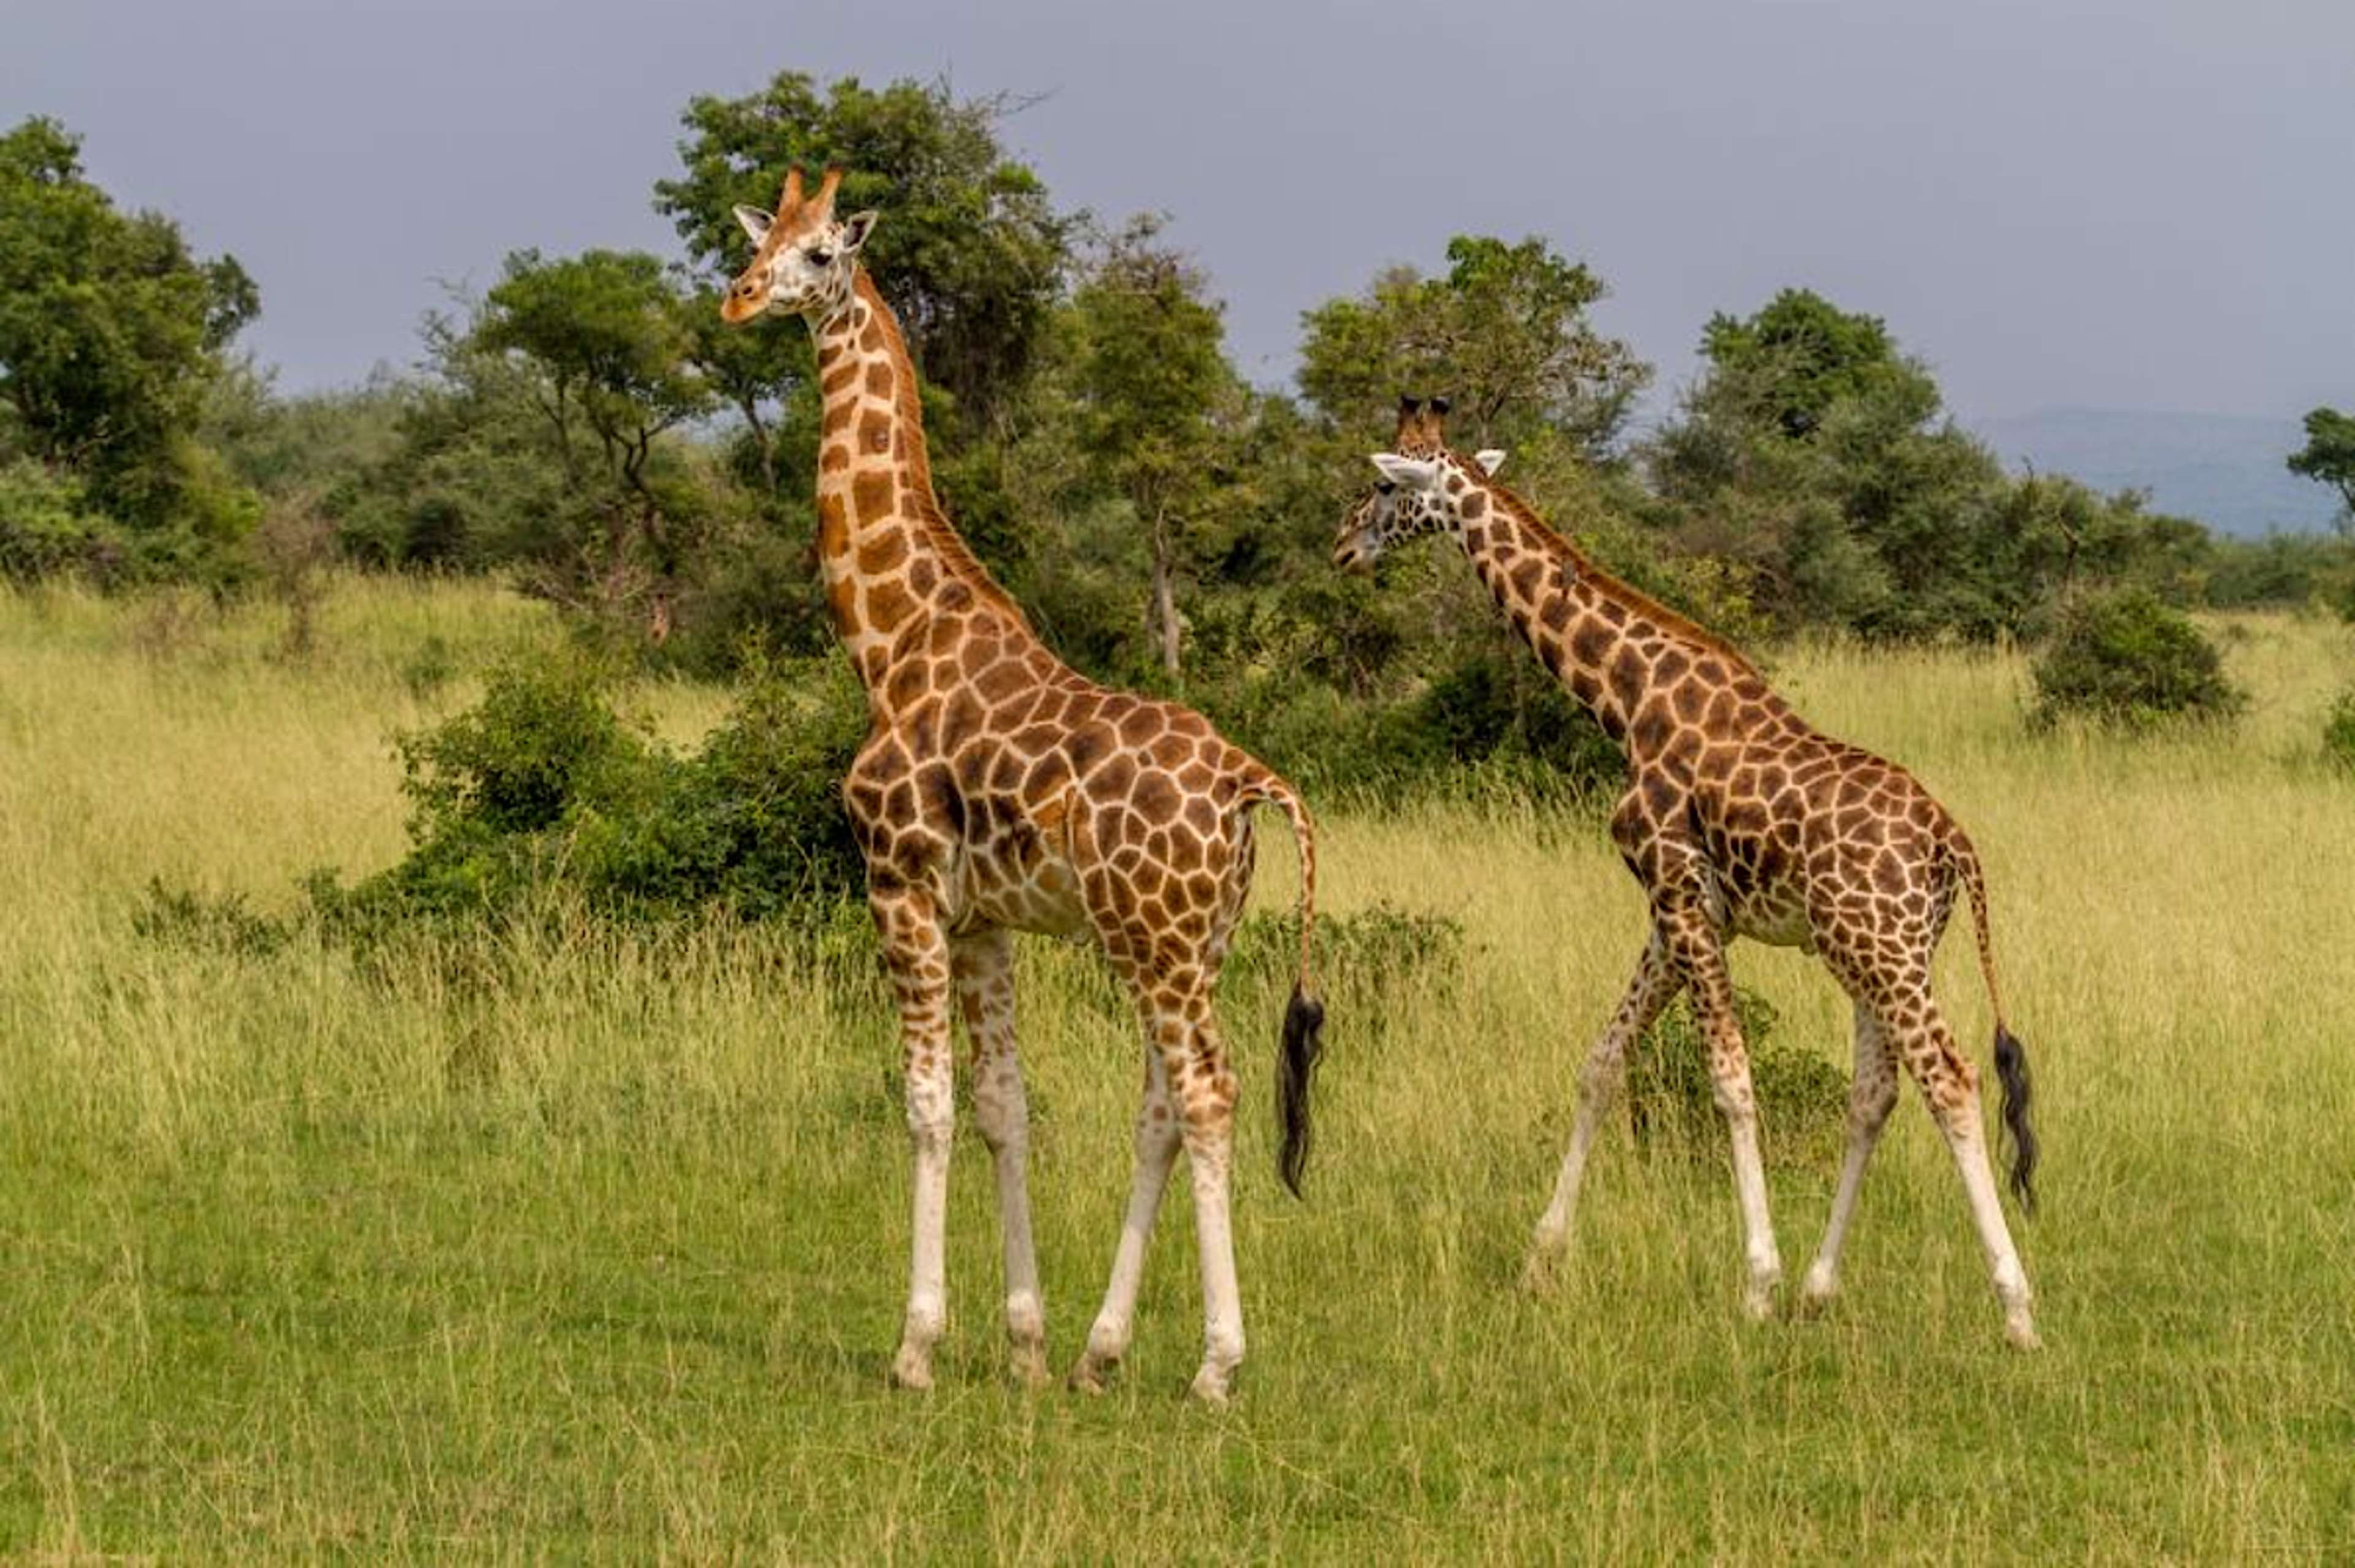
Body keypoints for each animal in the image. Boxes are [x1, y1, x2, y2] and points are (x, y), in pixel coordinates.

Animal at [721, 168, 1326, 1402]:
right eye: (764, 238)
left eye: (821, 255)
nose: (739, 298)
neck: (892, 643)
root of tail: (1252, 783)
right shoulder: (985, 918)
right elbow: (1006, 1106)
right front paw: (1027, 1341)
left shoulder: (898, 886)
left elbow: (928, 1106)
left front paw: (916, 1347)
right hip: (1196, 941)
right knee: (1162, 1107)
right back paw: (1102, 1351)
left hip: (1156, 943)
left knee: (1209, 1093)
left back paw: (1216, 1366)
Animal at [1332, 396, 2040, 1348]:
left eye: (1382, 485)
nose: (1343, 546)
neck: (1627, 699)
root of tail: (1950, 841)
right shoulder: (1681, 914)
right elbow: (1602, 1061)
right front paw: (1540, 1261)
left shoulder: (1677, 893)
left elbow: (1731, 1083)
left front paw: (1756, 1284)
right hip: (1876, 949)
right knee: (1876, 1093)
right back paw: (1822, 1288)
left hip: (1882, 951)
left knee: (1952, 1081)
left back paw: (2015, 1308)